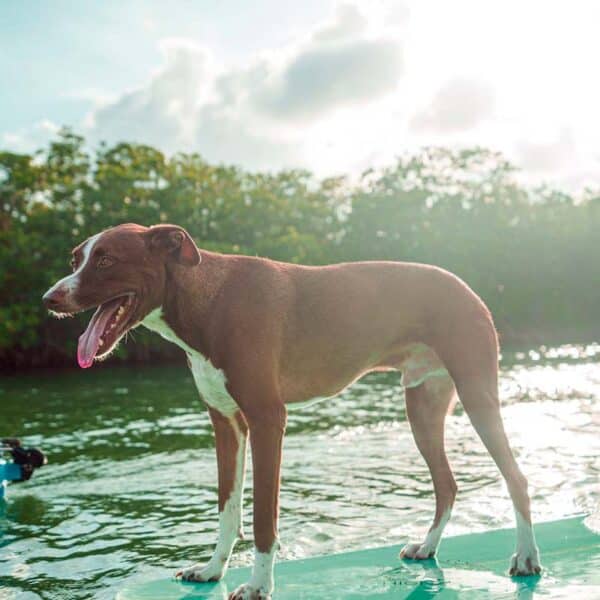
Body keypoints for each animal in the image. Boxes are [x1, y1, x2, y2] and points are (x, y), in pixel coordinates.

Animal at [44, 223, 540, 596]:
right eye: (74, 260)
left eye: (106, 260)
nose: (50, 299)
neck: (210, 300)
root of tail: (466, 286)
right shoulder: (226, 425)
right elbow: (227, 511)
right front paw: (213, 570)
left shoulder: (268, 420)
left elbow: (263, 517)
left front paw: (258, 586)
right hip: (422, 407)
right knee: (447, 485)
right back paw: (428, 547)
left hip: (477, 394)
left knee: (515, 477)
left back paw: (526, 557)